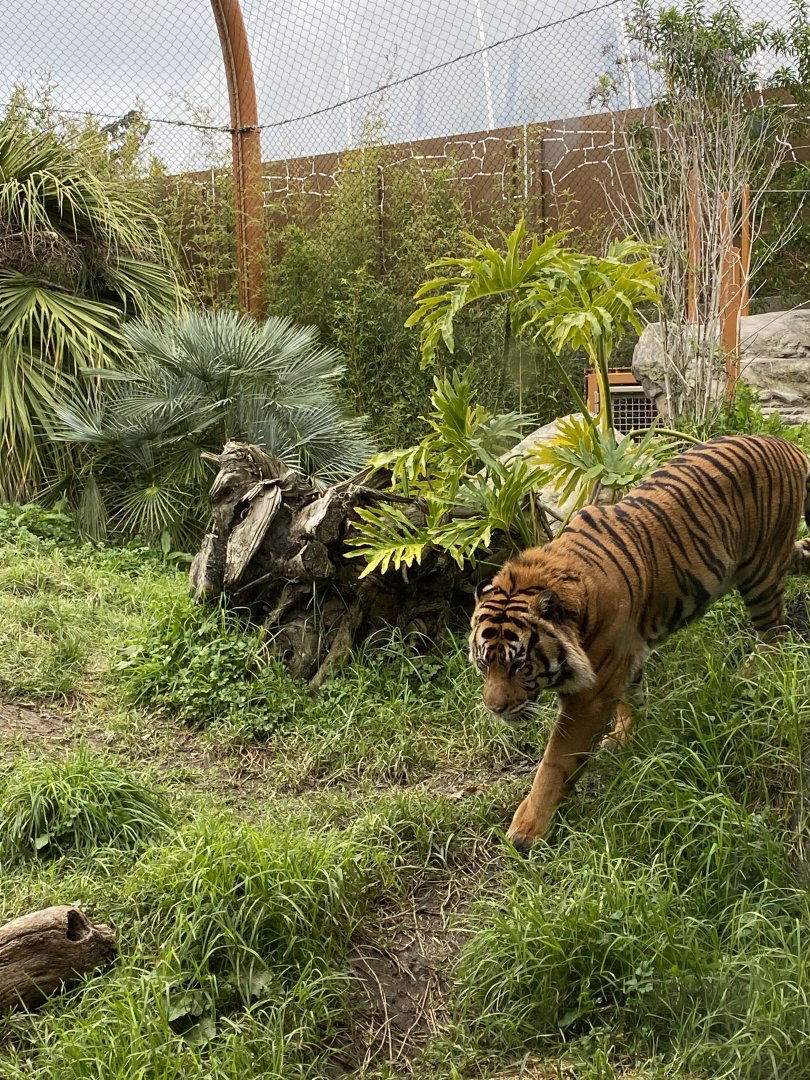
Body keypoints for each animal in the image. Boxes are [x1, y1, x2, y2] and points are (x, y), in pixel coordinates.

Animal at [470, 433, 810, 852]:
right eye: (484, 664)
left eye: (519, 664)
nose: (494, 709)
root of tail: (786, 444)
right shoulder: (624, 660)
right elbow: (631, 698)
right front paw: (625, 738)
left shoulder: (590, 694)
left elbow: (554, 761)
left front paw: (526, 830)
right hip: (777, 557)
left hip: (761, 572)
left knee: (774, 633)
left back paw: (755, 672)